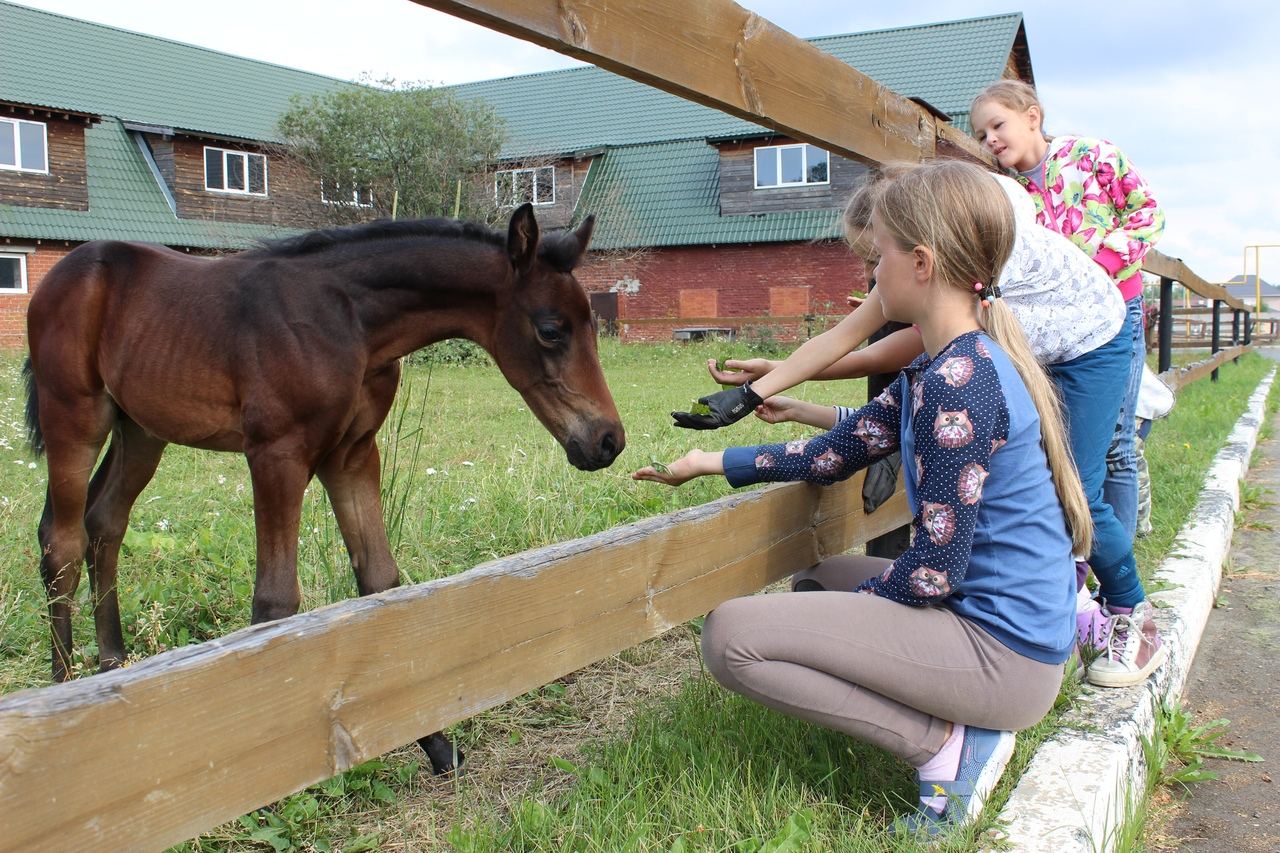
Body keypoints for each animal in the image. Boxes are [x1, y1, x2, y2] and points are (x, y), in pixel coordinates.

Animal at [23, 203, 624, 774]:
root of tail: (65, 273)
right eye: (551, 329)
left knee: (105, 522)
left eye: (592, 325)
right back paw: (64, 692)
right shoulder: (276, 454)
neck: (350, 322)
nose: (608, 440)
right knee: (63, 540)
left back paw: (110, 670)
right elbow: (275, 603)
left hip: (141, 429)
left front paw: (434, 744)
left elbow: (381, 582)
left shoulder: (352, 456)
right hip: (74, 416)